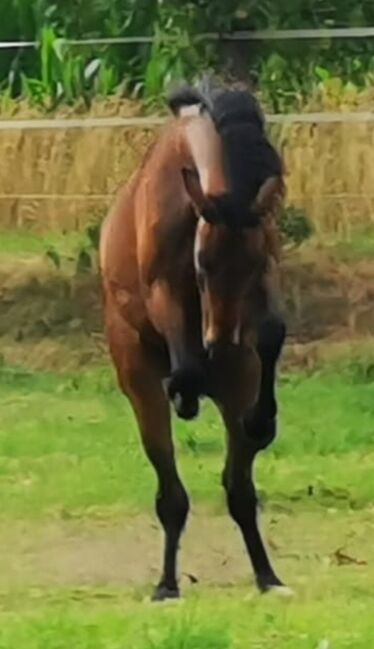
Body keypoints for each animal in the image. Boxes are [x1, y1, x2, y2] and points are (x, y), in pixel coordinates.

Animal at [98, 78, 286, 600]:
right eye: (202, 264)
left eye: (252, 261)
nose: (221, 341)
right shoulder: (162, 288)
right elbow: (182, 361)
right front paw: (187, 388)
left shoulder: (265, 272)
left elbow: (272, 331)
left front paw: (263, 420)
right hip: (140, 388)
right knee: (172, 495)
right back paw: (166, 584)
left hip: (236, 386)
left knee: (239, 490)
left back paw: (268, 576)